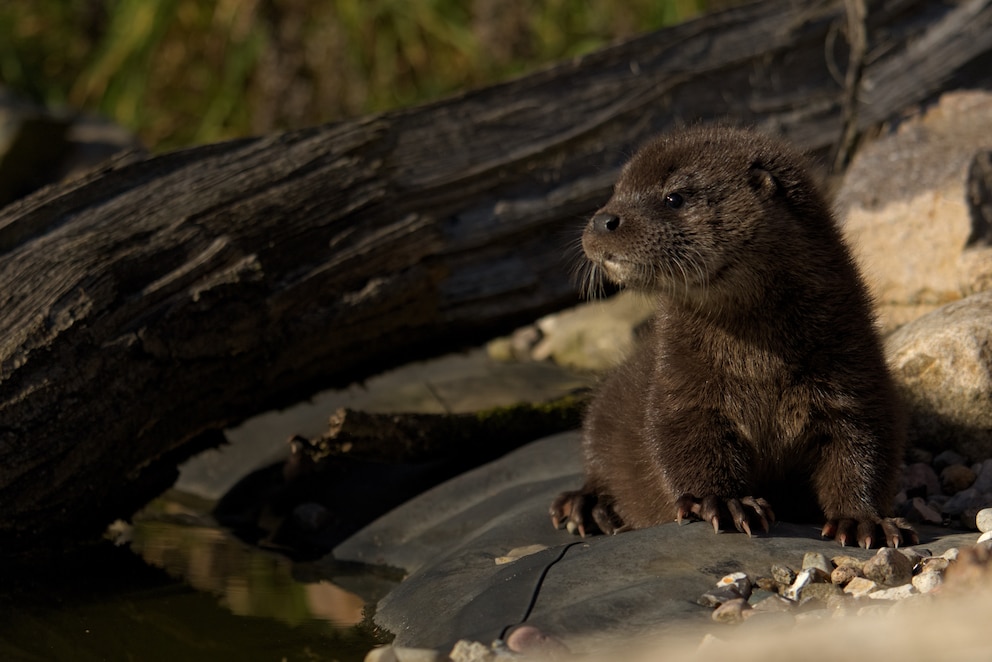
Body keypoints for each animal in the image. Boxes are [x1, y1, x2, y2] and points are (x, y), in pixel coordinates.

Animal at [552, 124, 916, 548]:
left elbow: (864, 447)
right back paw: (585, 507)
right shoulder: (678, 384)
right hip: (603, 413)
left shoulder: (855, 373)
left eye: (674, 197)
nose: (603, 219)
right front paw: (725, 502)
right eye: (616, 190)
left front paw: (863, 521)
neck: (758, 365)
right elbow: (679, 442)